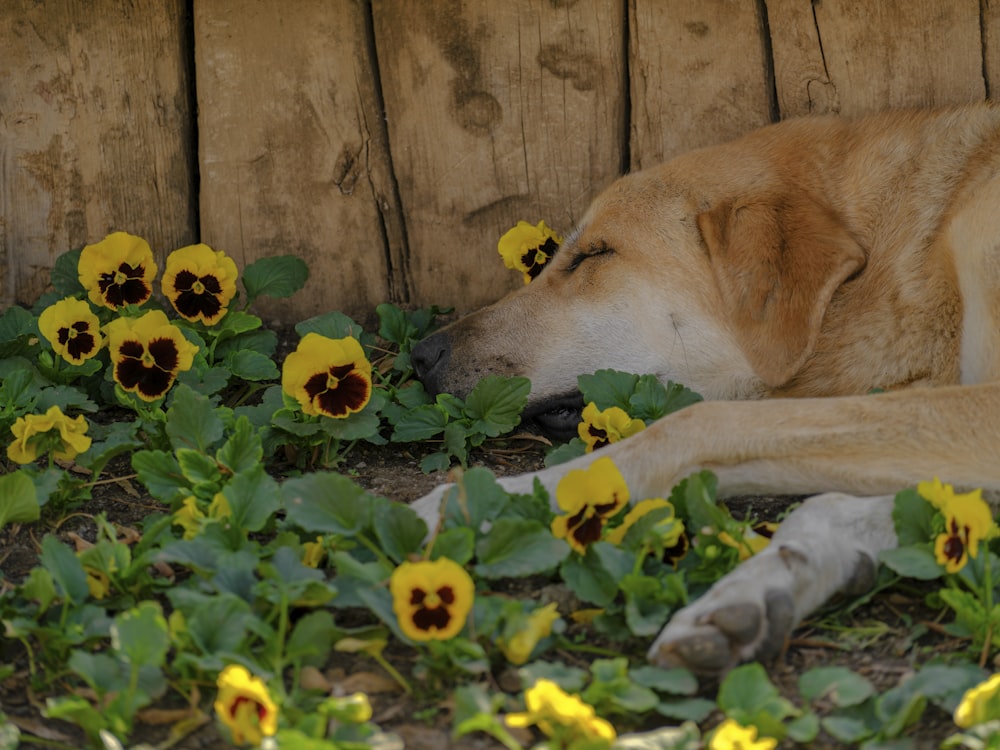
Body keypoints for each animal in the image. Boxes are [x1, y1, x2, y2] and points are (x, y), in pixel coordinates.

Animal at [408, 106, 1000, 676]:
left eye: (594, 254)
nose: (422, 357)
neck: (916, 253)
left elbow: (695, 425)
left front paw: (476, 501)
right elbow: (831, 505)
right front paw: (757, 591)